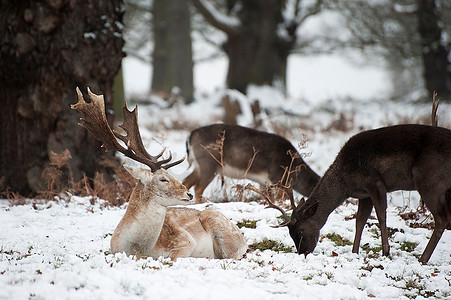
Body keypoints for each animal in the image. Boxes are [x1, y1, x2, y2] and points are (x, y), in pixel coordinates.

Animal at [71, 87, 247, 260]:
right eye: (163, 179)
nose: (188, 194)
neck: (139, 249)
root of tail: (243, 239)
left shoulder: (186, 241)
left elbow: (173, 257)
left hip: (219, 225)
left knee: (230, 255)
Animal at [182, 123, 320, 203]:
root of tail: (191, 135)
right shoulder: (278, 179)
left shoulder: (264, 183)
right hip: (209, 164)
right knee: (198, 188)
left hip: (199, 166)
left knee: (186, 181)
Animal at [268, 124, 451, 262]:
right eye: (290, 233)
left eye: (300, 231)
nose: (303, 252)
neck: (347, 183)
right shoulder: (365, 194)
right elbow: (360, 220)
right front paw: (355, 252)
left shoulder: (375, 182)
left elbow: (381, 216)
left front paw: (385, 252)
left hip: (430, 182)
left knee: (442, 219)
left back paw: (423, 258)